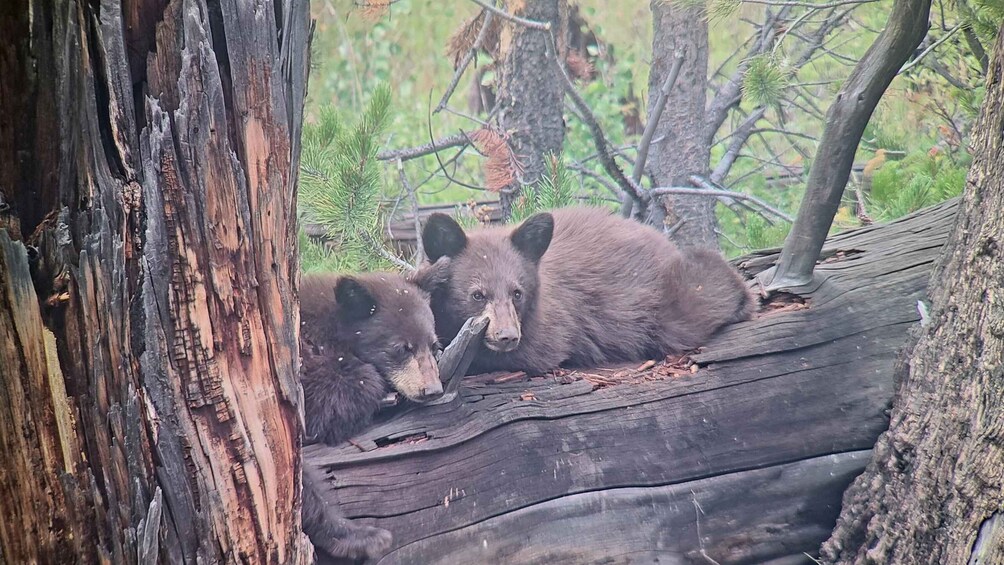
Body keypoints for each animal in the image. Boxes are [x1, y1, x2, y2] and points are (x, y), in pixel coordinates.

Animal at [305, 199, 955, 565]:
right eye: (476, 293)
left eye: (517, 290)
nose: (506, 336)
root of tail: (653, 237)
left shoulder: (553, 322)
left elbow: (540, 347)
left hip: (666, 302)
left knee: (705, 284)